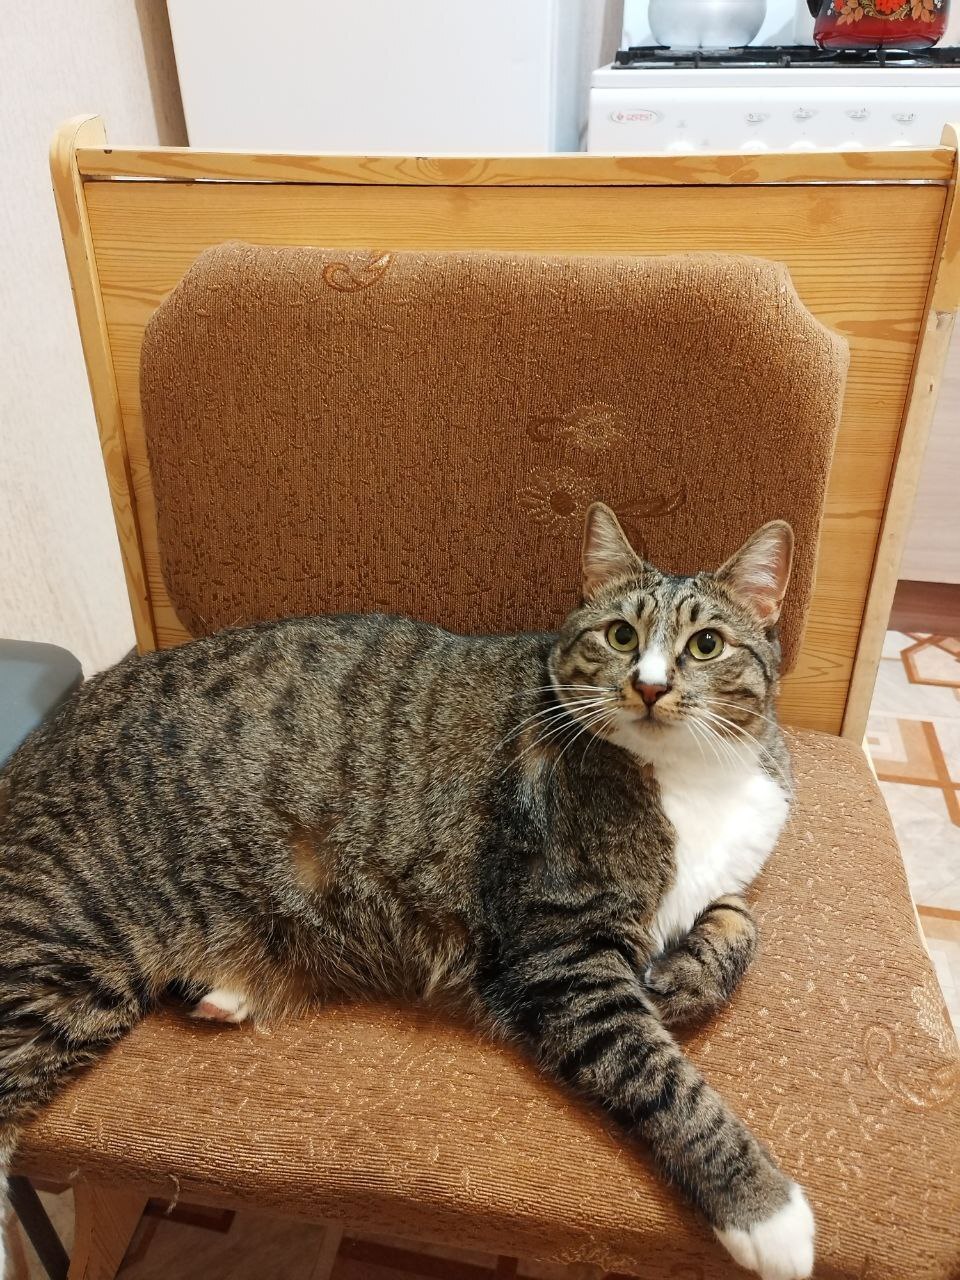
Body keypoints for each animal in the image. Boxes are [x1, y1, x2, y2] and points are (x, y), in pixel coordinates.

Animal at [0, 503, 812, 1280]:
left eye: (705, 645)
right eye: (619, 635)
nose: (648, 685)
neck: (689, 776)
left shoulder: (719, 881)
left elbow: (742, 923)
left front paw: (681, 976)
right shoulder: (559, 951)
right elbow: (663, 1077)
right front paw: (764, 1208)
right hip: (65, 951)